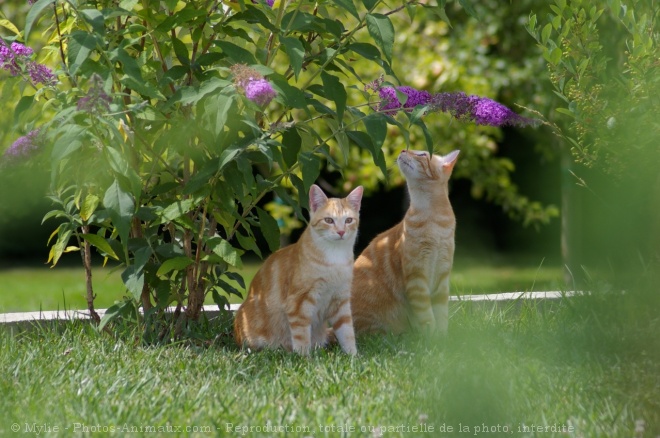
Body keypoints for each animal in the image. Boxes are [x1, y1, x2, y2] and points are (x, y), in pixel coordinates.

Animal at [233, 183, 364, 354]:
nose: (341, 232)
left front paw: (353, 355)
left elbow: (347, 332)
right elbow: (301, 336)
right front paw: (304, 357)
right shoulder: (298, 303)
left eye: (348, 220)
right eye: (329, 220)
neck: (335, 257)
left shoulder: (341, 300)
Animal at [350, 149, 458, 334]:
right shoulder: (416, 278)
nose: (403, 150)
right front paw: (432, 337)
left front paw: (443, 337)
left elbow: (441, 316)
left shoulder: (442, 277)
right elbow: (427, 317)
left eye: (422, 154)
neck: (432, 220)